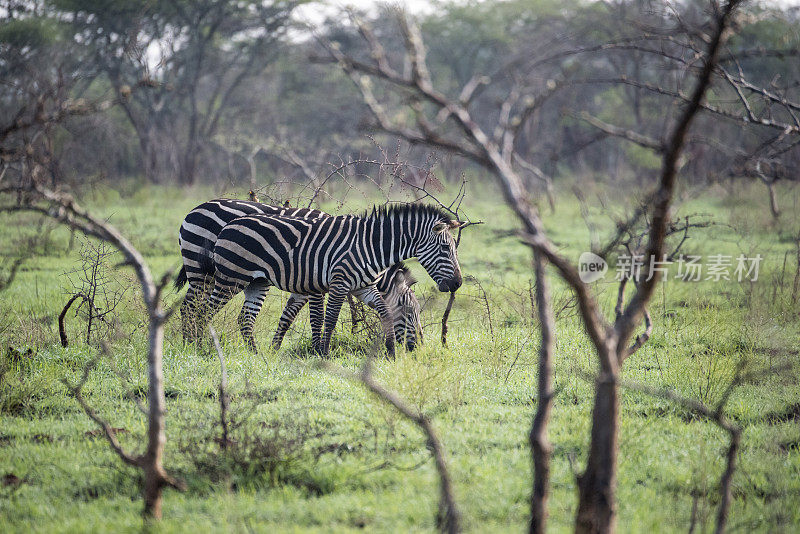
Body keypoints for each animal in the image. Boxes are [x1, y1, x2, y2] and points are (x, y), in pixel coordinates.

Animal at [203, 207, 460, 358]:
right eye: (445, 248)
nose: (457, 283)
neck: (371, 247)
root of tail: (231, 224)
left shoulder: (364, 288)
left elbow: (385, 312)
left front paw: (390, 352)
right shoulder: (336, 284)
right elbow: (328, 319)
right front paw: (323, 352)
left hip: (257, 282)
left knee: (245, 318)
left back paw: (256, 355)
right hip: (230, 278)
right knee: (202, 310)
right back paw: (198, 346)